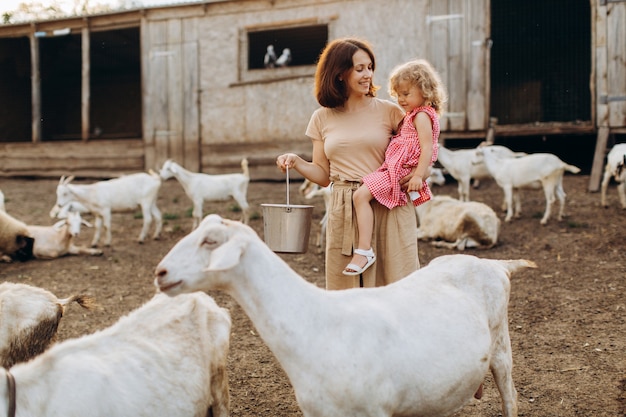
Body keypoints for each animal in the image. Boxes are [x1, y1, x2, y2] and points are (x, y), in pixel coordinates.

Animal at [154, 214, 532, 416]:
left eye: (210, 241)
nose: (160, 272)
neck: (315, 324)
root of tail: (496, 265)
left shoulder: (374, 410)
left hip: (502, 349)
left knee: (511, 398)